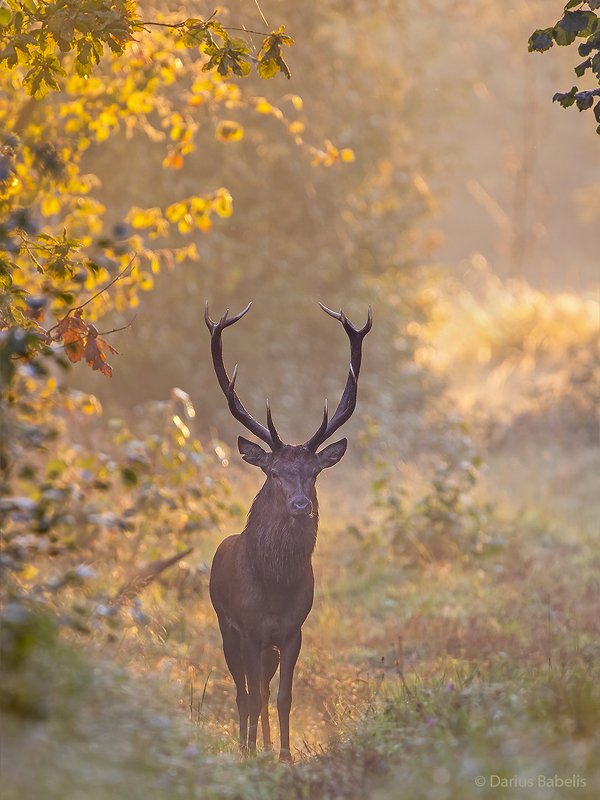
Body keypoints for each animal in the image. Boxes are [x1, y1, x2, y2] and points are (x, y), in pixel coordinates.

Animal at [205, 301, 371, 762]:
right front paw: (250, 752)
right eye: (274, 472)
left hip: (269, 647)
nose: (301, 505)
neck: (275, 588)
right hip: (225, 628)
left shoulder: (293, 630)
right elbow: (252, 697)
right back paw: (247, 743)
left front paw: (283, 754)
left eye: (315, 473)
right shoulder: (247, 628)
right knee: (243, 691)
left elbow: (282, 697)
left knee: (262, 687)